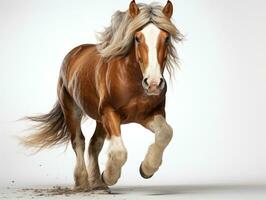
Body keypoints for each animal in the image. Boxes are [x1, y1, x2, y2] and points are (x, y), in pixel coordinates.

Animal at [22, 0, 183, 192]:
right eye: (137, 38)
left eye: (166, 38)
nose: (153, 83)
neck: (131, 80)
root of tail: (74, 52)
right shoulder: (109, 112)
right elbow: (119, 152)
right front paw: (109, 176)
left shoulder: (151, 113)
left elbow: (166, 133)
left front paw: (146, 169)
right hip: (72, 109)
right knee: (79, 142)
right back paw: (83, 182)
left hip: (99, 119)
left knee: (94, 144)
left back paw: (97, 183)